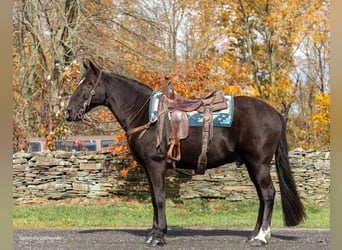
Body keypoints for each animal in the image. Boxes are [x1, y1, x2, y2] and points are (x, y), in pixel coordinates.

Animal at [66, 60, 304, 246]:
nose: (68, 111)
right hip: (251, 164)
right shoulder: (149, 167)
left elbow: (159, 198)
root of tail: (276, 114)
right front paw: (154, 232)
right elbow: (154, 197)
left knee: (268, 193)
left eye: (89, 84)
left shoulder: (156, 164)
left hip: (259, 163)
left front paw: (158, 236)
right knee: (263, 196)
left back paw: (262, 237)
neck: (147, 116)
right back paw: (254, 234)